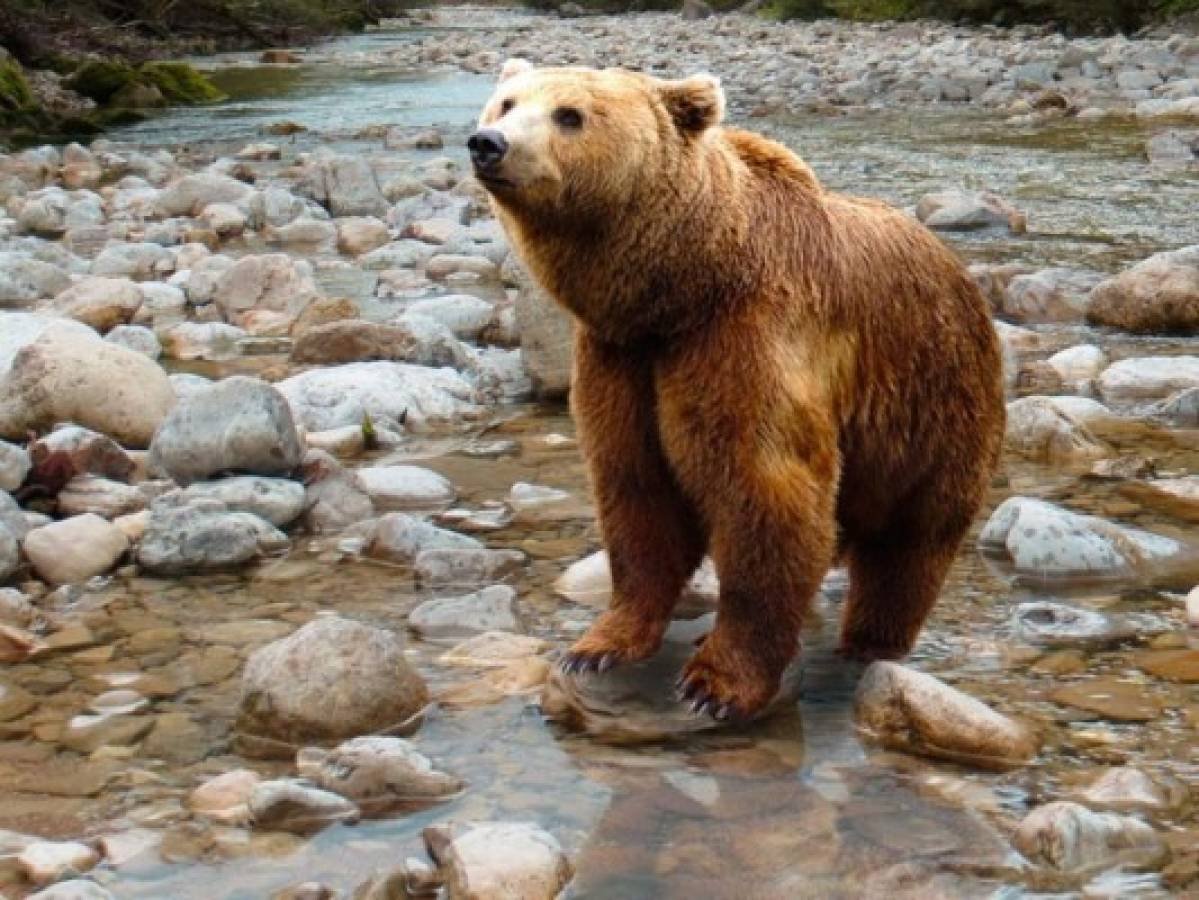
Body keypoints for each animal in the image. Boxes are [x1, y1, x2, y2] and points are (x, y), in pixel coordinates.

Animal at [469, 59, 1006, 721]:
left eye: (569, 114)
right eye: (507, 103)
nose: (488, 143)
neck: (682, 287)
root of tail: (962, 272)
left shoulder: (745, 339)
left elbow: (764, 493)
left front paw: (715, 684)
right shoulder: (622, 360)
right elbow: (635, 493)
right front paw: (597, 647)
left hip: (933, 403)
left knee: (910, 544)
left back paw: (868, 641)